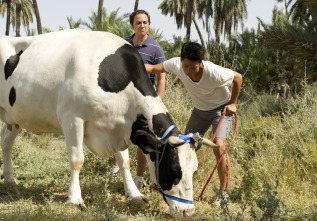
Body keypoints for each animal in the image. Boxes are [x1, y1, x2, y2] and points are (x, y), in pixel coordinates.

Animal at [0, 28, 217, 216]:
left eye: (194, 170)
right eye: (173, 170)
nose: (188, 211)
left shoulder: (120, 125)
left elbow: (124, 162)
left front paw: (134, 194)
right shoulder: (71, 118)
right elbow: (77, 160)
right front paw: (74, 199)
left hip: (13, 117)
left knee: (6, 142)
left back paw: (10, 178)